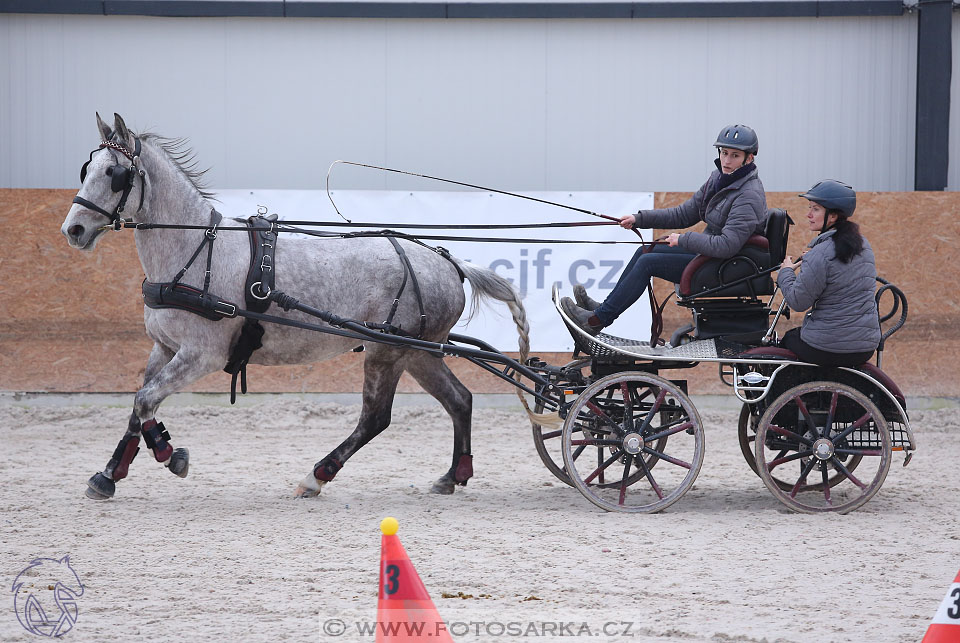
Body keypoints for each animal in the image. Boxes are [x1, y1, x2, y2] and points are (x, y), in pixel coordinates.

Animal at [61, 113, 532, 500]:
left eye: (114, 173)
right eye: (87, 169)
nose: (74, 229)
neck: (195, 249)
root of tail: (449, 262)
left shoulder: (201, 354)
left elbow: (145, 401)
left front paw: (170, 454)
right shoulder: (163, 348)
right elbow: (139, 405)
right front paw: (110, 473)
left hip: (387, 351)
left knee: (375, 418)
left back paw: (317, 476)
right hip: (418, 351)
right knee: (459, 400)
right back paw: (453, 475)